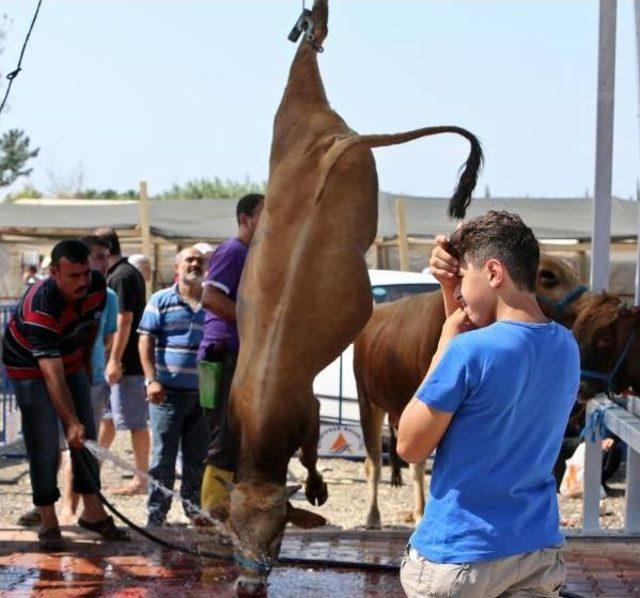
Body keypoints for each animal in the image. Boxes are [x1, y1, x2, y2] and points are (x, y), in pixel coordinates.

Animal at [219, 0, 480, 592]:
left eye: (277, 534)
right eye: (231, 533)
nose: (248, 584)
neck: (262, 405)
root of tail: (337, 141)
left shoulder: (309, 407)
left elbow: (314, 452)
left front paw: (316, 485)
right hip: (296, 127)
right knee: (305, 67)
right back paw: (314, 24)